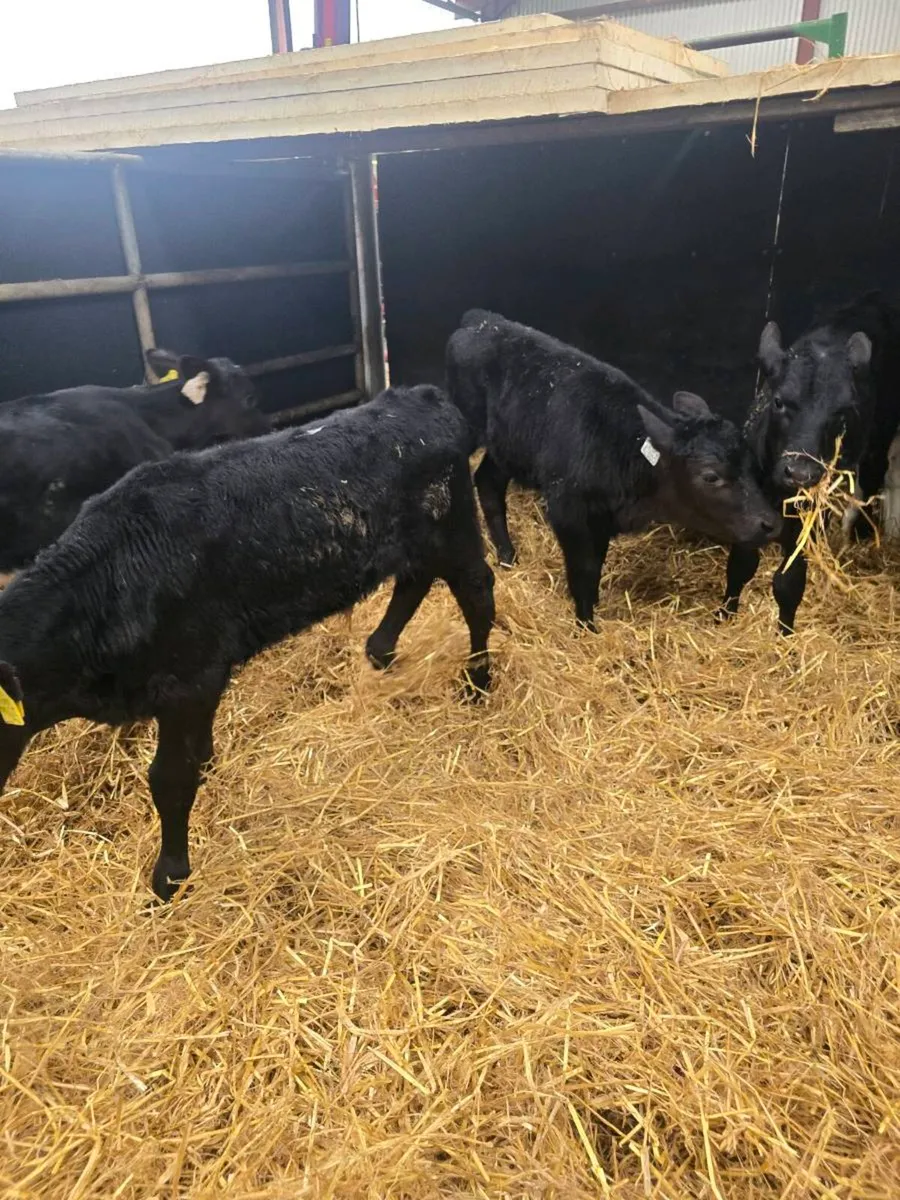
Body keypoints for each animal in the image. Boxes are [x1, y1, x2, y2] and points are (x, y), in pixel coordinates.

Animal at [0, 384, 494, 902]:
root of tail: (420, 395)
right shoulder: (200, 677)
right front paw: (208, 767)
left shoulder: (186, 680)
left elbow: (169, 778)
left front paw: (170, 875)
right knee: (413, 581)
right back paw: (380, 650)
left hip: (454, 531)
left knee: (477, 595)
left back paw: (477, 680)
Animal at [446, 310, 781, 629]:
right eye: (711, 476)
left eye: (752, 465)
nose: (770, 524)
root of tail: (483, 320)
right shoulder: (568, 512)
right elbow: (583, 570)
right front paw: (585, 625)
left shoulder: (602, 518)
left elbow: (597, 564)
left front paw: (593, 606)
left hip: (507, 446)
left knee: (488, 482)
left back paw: (507, 556)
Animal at [719, 292, 900, 634]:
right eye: (778, 401)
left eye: (841, 412)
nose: (800, 473)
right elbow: (740, 565)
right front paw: (724, 617)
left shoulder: (806, 521)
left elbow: (789, 583)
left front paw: (785, 635)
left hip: (879, 438)